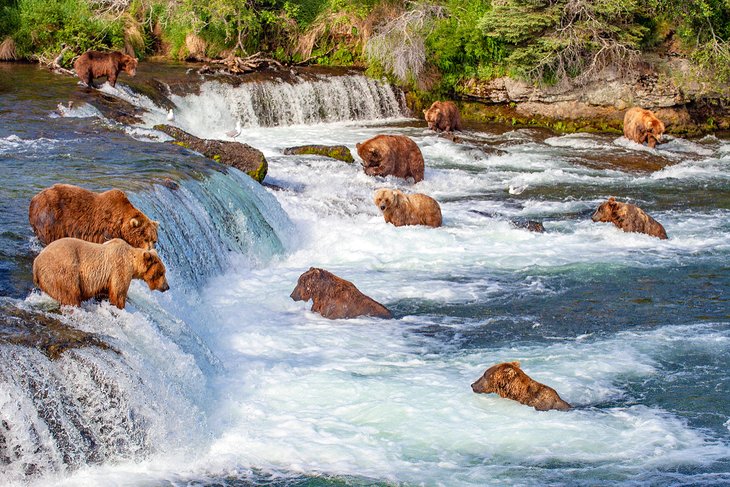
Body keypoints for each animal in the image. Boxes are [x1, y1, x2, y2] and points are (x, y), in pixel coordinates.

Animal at [29, 184, 159, 252]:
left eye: (154, 240)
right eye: (145, 238)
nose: (150, 250)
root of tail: (34, 198)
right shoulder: (104, 230)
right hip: (51, 219)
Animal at [32, 238, 169, 310]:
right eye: (161, 273)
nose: (167, 287)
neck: (133, 262)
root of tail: (35, 263)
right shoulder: (120, 268)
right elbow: (118, 293)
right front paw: (120, 306)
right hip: (62, 270)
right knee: (70, 293)